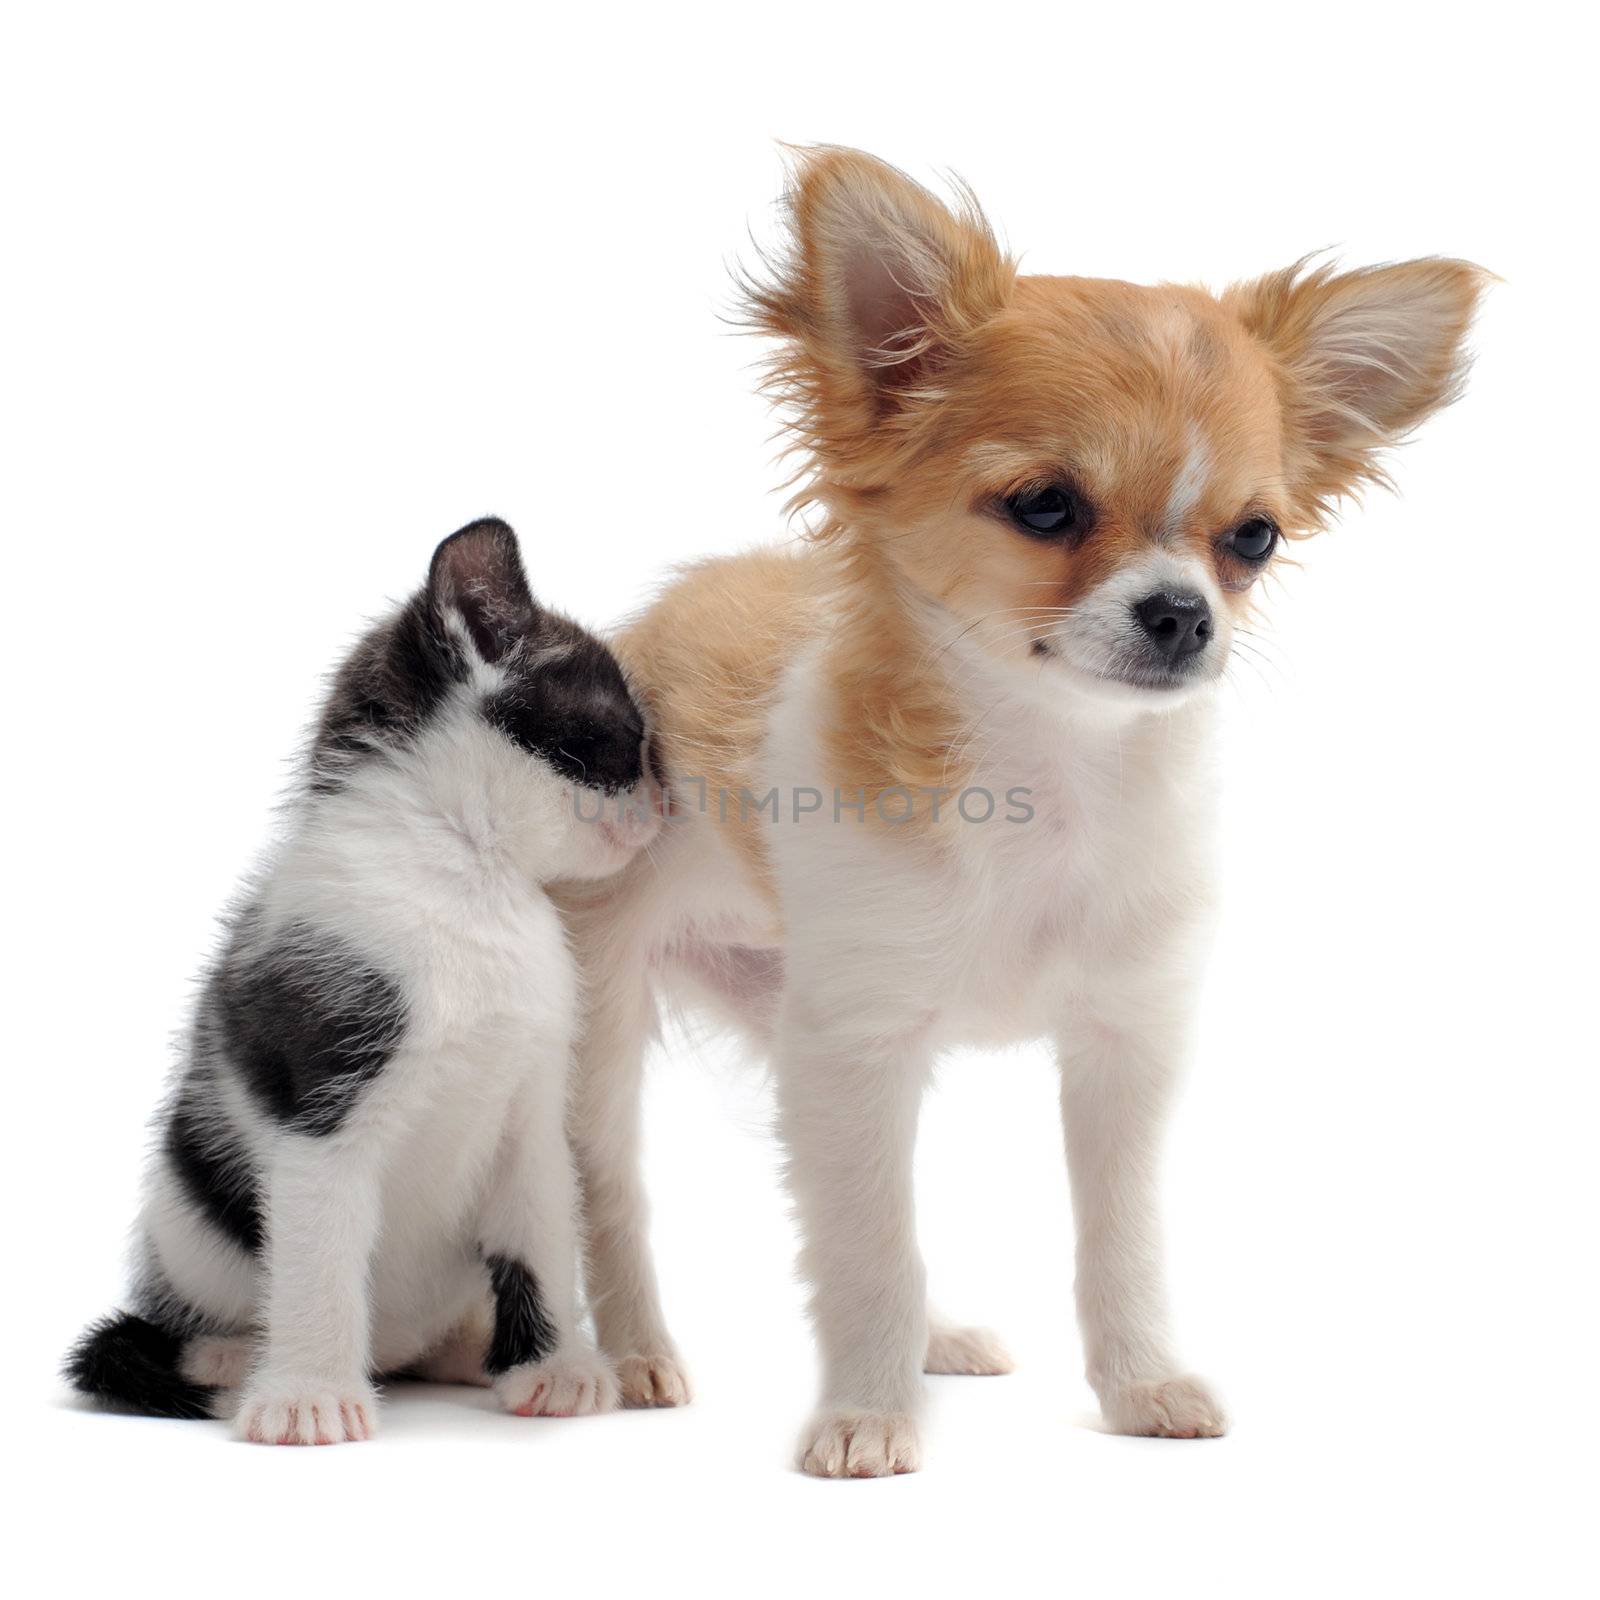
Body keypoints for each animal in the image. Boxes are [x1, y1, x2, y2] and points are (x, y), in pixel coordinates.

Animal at [67, 518, 656, 1446]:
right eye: (622, 736)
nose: (664, 797)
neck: (467, 881)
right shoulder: (321, 1101)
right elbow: (321, 1258)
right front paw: (307, 1392)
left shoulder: (532, 1106)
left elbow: (539, 1232)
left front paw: (554, 1368)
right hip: (185, 1225)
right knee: (157, 1330)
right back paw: (236, 1360)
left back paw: (469, 1350)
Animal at [563, 147, 1484, 1472]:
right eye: (1045, 506)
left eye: (1252, 538)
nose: (1182, 613)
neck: (1053, 772)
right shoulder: (857, 1047)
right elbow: (867, 1247)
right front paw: (866, 1417)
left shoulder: (1115, 1046)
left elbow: (1111, 1240)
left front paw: (1139, 1383)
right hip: (598, 1025)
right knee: (612, 1191)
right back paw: (637, 1352)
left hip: (774, 1011)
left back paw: (934, 1336)